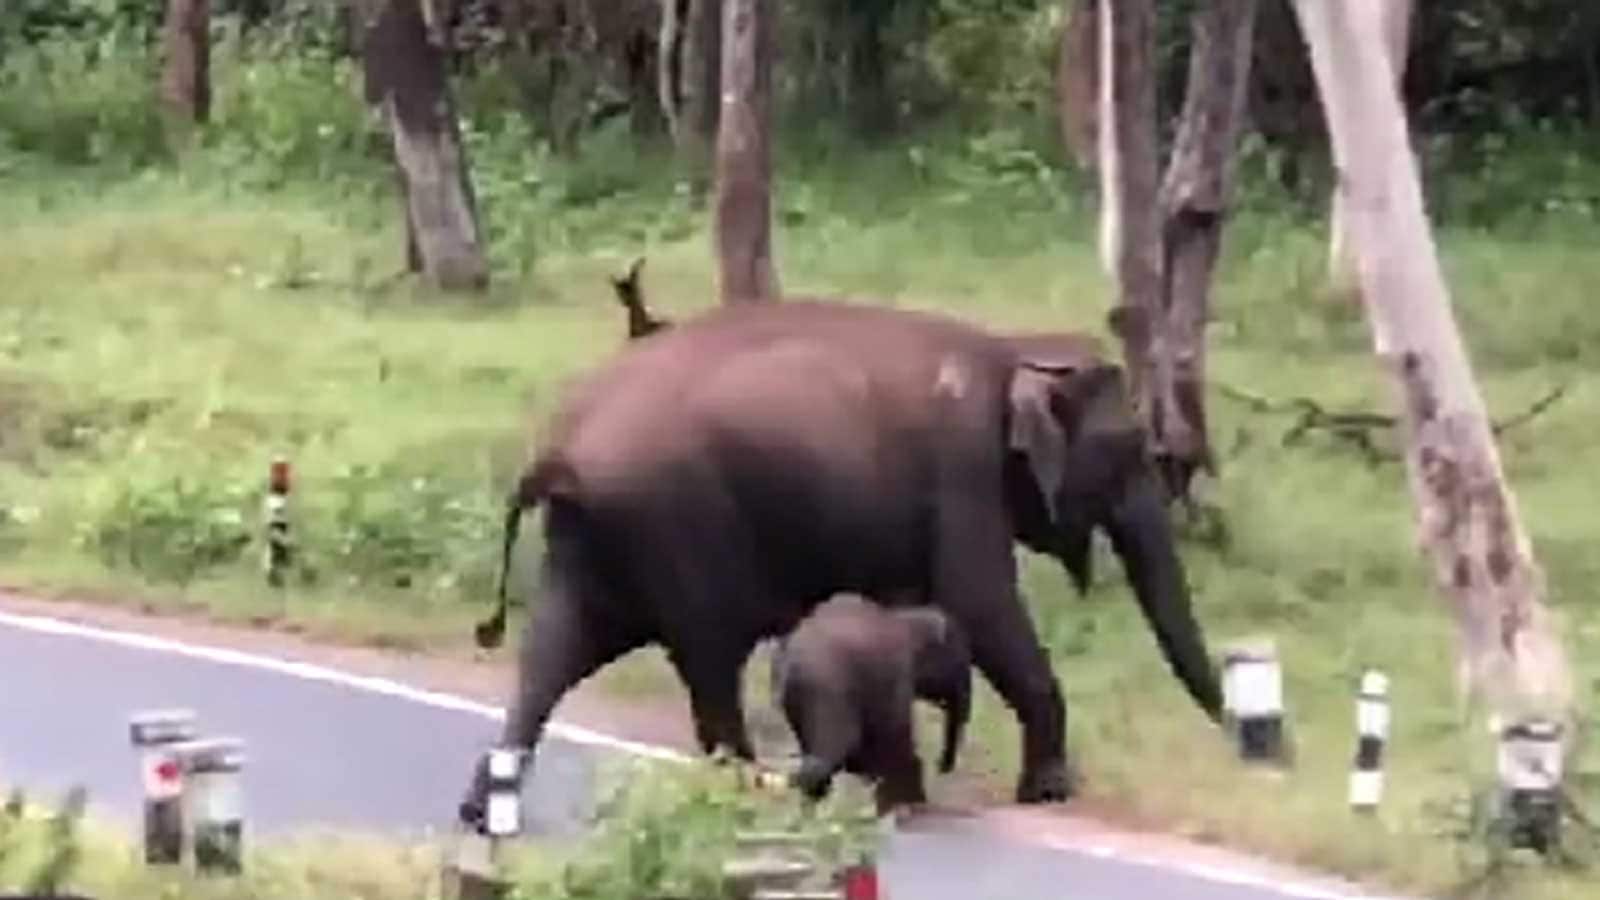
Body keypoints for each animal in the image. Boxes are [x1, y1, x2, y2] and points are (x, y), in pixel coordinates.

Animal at [768, 591, 972, 812]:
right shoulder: (897, 676)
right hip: (828, 690)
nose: (941, 767)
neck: (902, 616)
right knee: (835, 751)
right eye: (959, 661)